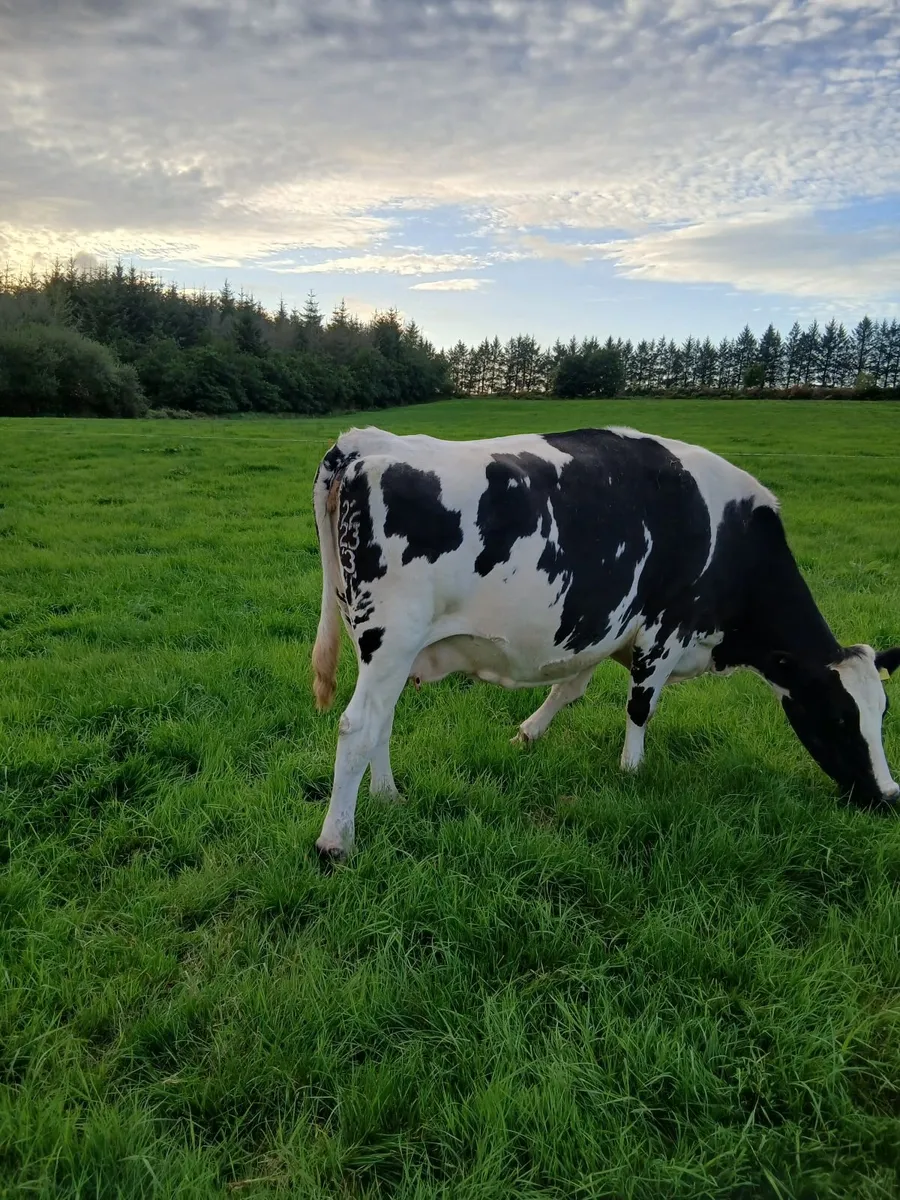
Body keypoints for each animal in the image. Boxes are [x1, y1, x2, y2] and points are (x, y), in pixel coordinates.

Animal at [311, 425, 899, 859]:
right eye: (841, 717)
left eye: (883, 713)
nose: (890, 796)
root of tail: (366, 442)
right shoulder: (664, 627)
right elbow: (641, 705)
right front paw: (632, 771)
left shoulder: (605, 625)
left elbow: (568, 690)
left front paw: (526, 735)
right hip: (392, 635)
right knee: (358, 726)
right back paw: (336, 841)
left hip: (382, 645)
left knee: (382, 721)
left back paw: (388, 797)